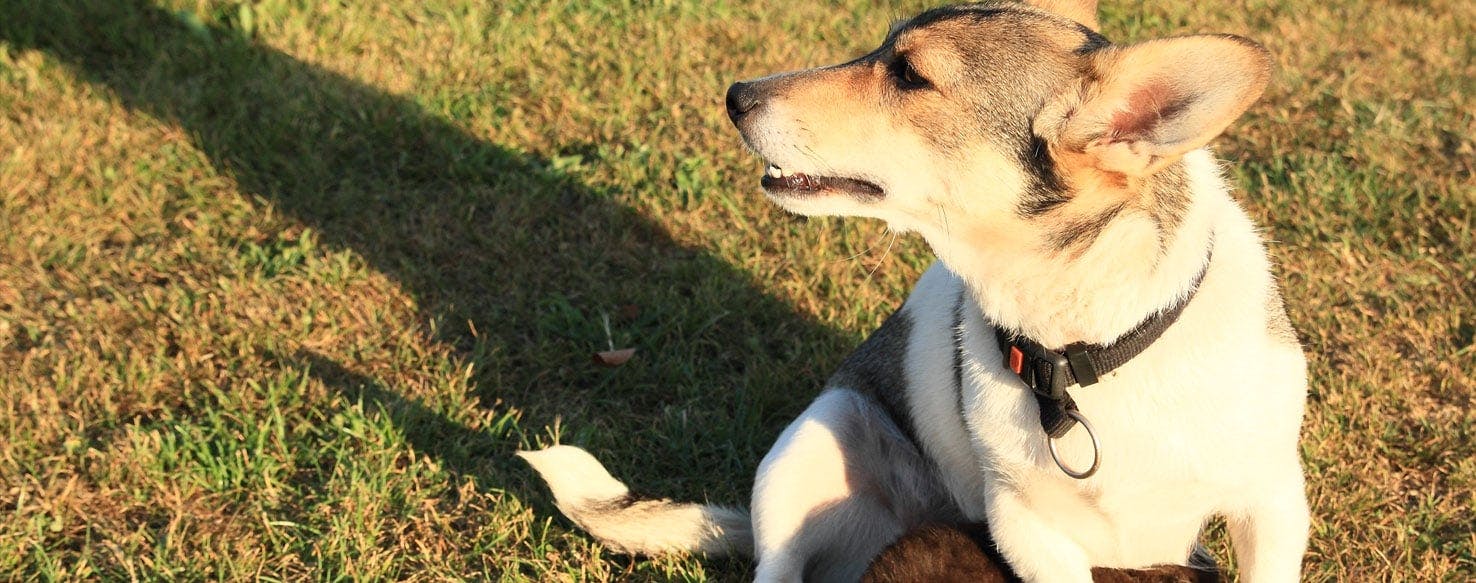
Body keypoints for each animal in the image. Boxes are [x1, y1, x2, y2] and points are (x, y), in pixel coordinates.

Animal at [516, 2, 1304, 581]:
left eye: (910, 75)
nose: (736, 96)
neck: (1088, 351)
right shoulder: (1029, 531)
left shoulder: (1272, 505)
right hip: (813, 444)